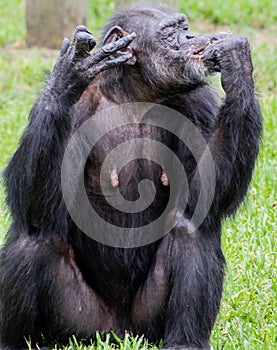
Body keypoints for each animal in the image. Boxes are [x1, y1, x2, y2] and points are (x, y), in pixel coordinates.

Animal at [0, 3, 260, 350]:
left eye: (185, 27)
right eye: (170, 32)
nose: (191, 36)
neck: (133, 94)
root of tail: (117, 333)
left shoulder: (197, 106)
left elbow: (204, 195)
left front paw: (236, 60)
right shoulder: (75, 111)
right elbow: (32, 204)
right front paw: (69, 74)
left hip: (147, 325)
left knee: (191, 229)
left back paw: (185, 341)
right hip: (76, 324)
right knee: (34, 237)